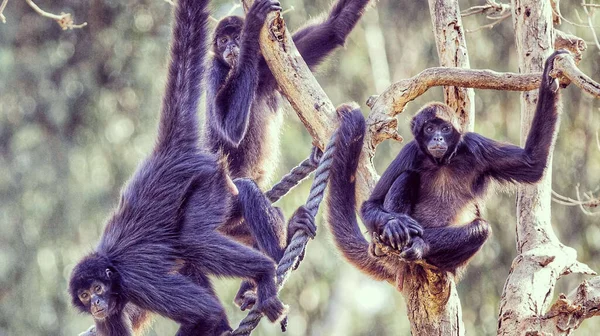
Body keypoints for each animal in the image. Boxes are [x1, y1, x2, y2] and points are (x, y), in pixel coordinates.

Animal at [69, 0, 298, 336]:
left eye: (98, 289)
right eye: (85, 295)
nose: (96, 302)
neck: (112, 269)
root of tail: (167, 153)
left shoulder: (137, 282)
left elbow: (206, 314)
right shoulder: (109, 312)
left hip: (207, 182)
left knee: (194, 240)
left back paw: (267, 271)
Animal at [326, 50, 564, 288]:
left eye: (445, 128)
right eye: (430, 128)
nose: (438, 138)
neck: (441, 163)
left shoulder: (475, 146)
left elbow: (533, 164)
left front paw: (548, 80)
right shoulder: (410, 152)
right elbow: (371, 204)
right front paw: (395, 225)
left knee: (481, 228)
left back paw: (420, 247)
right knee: (406, 177)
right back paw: (395, 239)